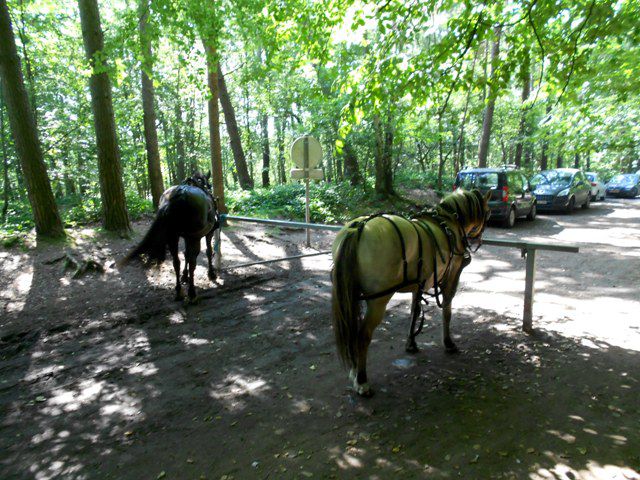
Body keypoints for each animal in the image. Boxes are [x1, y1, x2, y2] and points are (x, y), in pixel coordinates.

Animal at [120, 172, 220, 302]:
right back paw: (192, 293)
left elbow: (185, 255)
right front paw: (211, 273)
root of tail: (180, 193)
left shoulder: (185, 237)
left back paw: (178, 291)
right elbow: (208, 252)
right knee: (192, 262)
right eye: (209, 184)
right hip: (193, 237)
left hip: (172, 237)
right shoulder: (207, 234)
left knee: (176, 262)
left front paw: (184, 276)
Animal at [331, 189, 491, 396]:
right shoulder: (451, 278)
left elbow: (414, 312)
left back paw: (354, 370)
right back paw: (362, 380)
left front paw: (411, 343)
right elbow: (447, 311)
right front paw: (448, 343)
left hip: (352, 297)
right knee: (362, 336)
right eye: (488, 213)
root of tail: (358, 229)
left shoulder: (418, 285)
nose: (477, 240)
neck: (448, 222)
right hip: (378, 300)